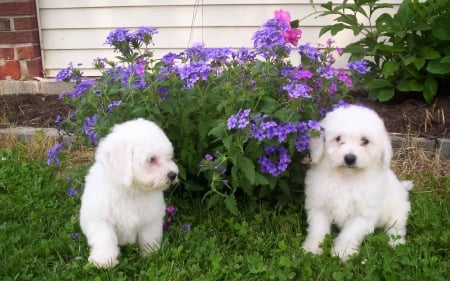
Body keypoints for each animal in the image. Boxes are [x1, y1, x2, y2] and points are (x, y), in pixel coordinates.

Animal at [80, 117, 178, 266]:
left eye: (168, 157)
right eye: (151, 159)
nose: (173, 175)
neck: (130, 190)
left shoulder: (150, 219)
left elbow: (149, 237)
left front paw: (150, 255)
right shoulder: (100, 219)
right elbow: (104, 238)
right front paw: (104, 260)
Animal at [302, 104, 412, 260]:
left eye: (365, 141)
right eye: (338, 139)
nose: (350, 158)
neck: (347, 177)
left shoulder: (362, 214)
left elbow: (350, 233)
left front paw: (343, 252)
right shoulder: (319, 206)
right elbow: (318, 229)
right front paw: (312, 248)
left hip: (398, 208)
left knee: (397, 226)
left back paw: (395, 243)